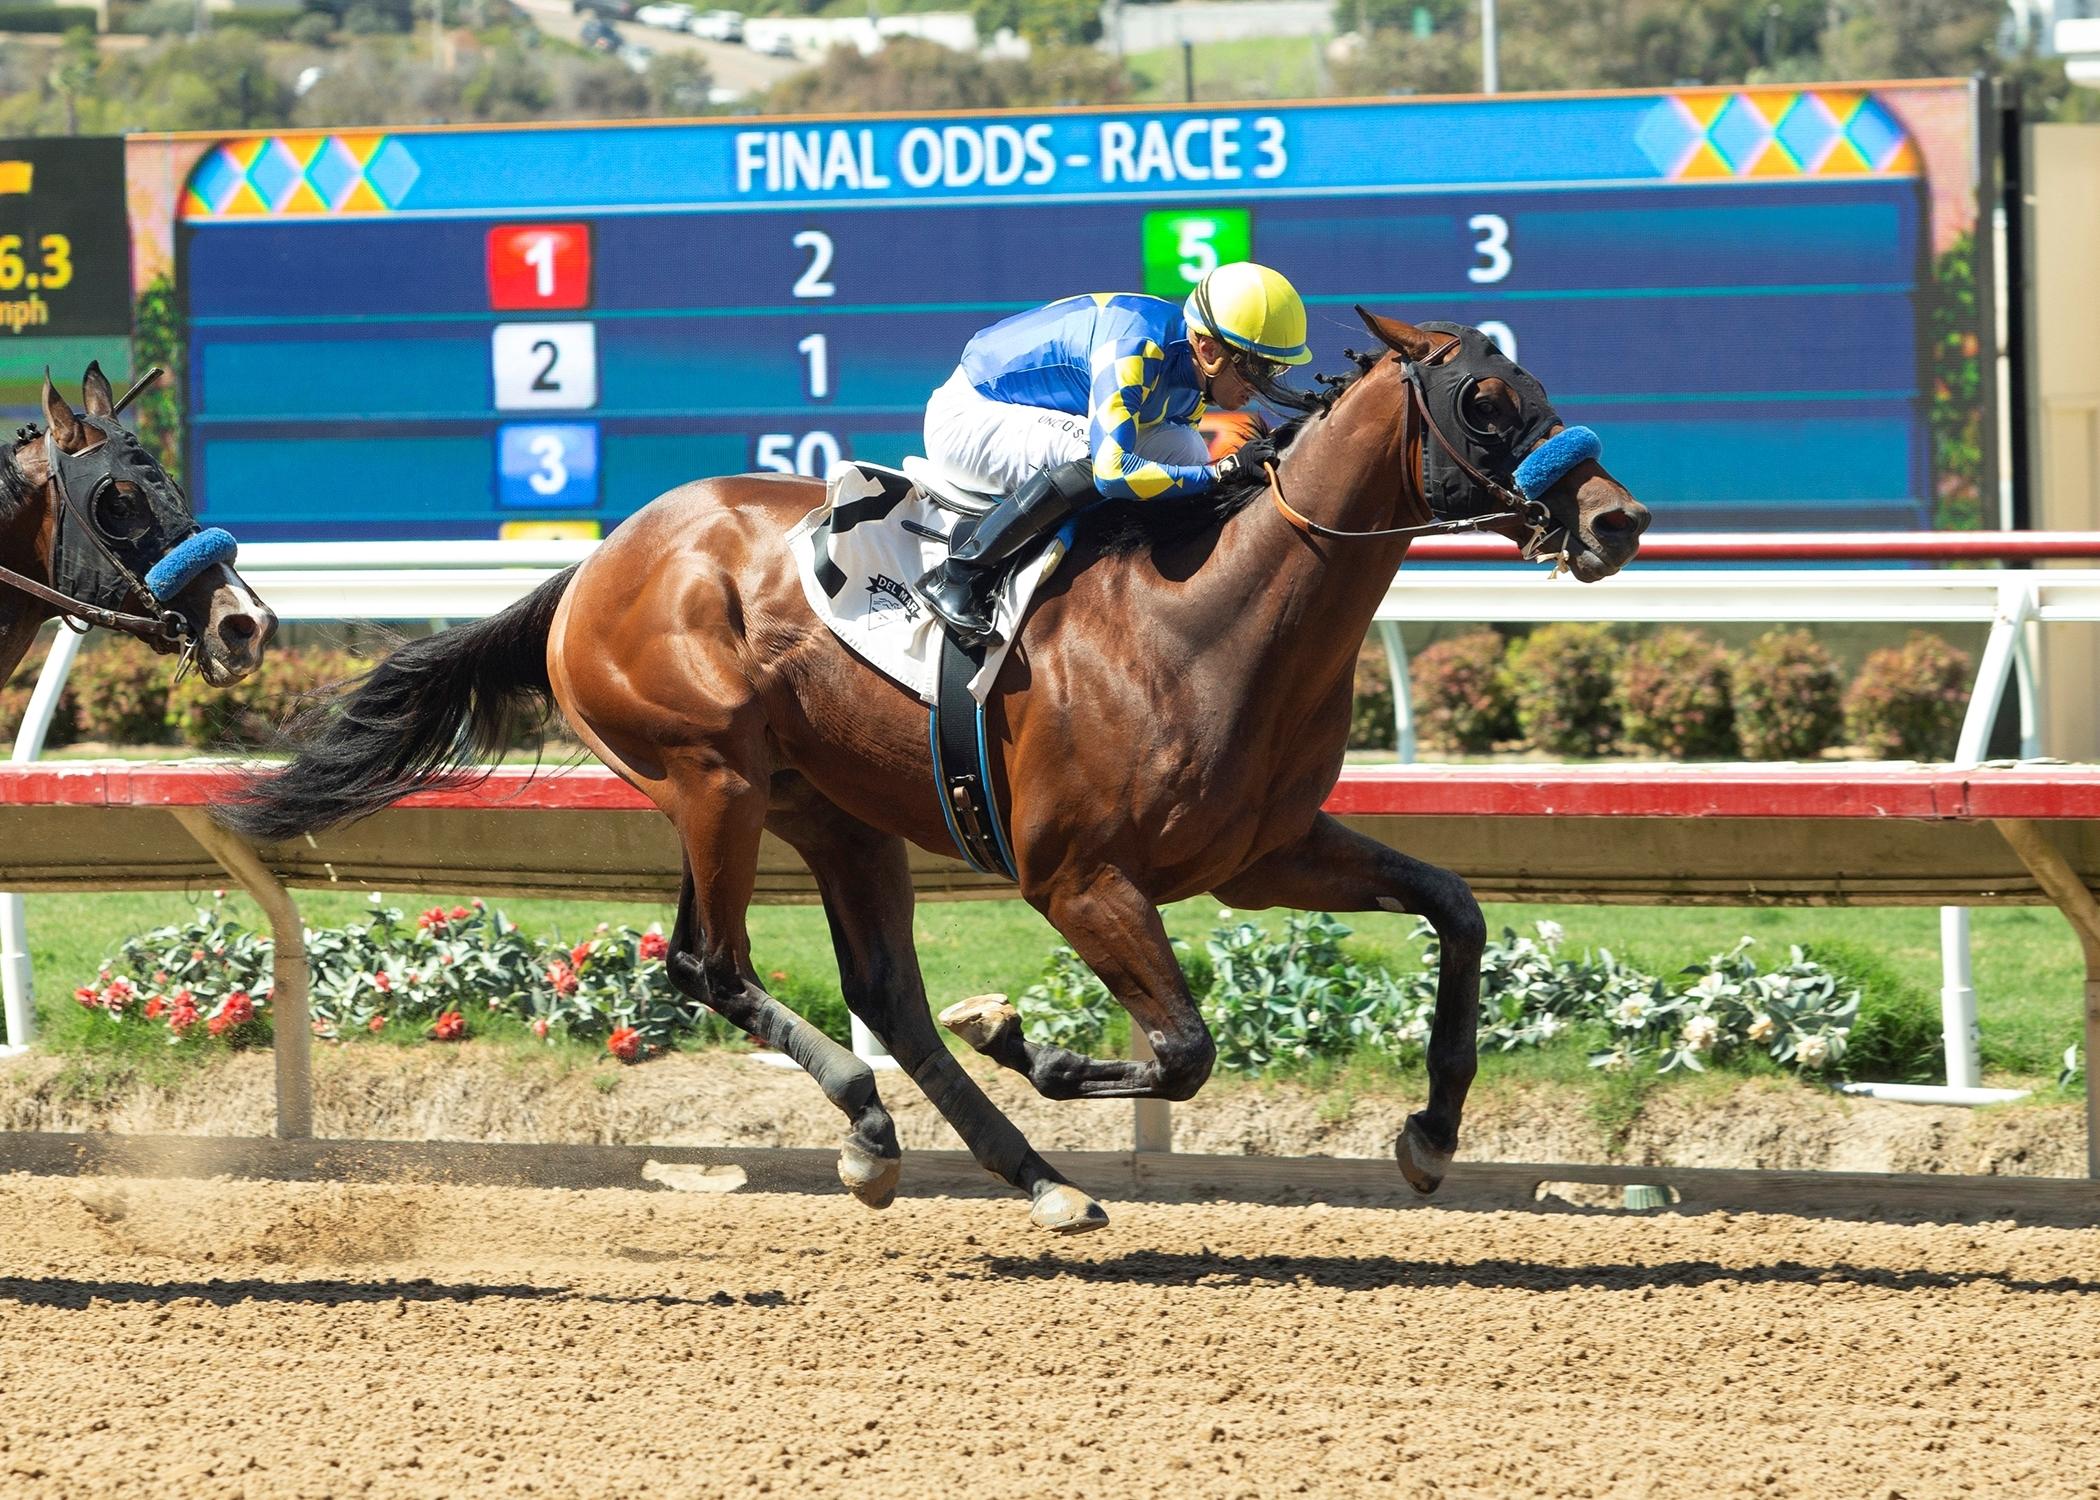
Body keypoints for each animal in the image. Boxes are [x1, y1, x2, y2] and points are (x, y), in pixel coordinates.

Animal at [222, 311, 1649, 1233]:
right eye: (1484, 403)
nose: (1617, 517)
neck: (1213, 618)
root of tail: (600, 559)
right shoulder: (1077, 879)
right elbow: (1182, 1050)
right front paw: (1029, 1038)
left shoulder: (1264, 857)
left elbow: (1457, 911)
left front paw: (1431, 1135)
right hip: (713, 777)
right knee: (711, 965)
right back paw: (881, 1125)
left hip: (829, 811)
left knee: (880, 996)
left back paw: (1027, 1178)